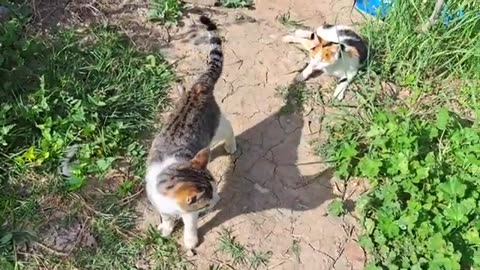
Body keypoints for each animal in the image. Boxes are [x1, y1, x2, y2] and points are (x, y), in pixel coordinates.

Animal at [145, 15, 237, 250]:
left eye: (215, 191)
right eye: (208, 199)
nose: (217, 200)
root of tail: (199, 86)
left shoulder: (189, 213)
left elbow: (190, 223)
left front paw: (190, 239)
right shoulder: (160, 204)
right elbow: (167, 217)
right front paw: (166, 228)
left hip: (217, 125)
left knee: (229, 128)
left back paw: (231, 146)